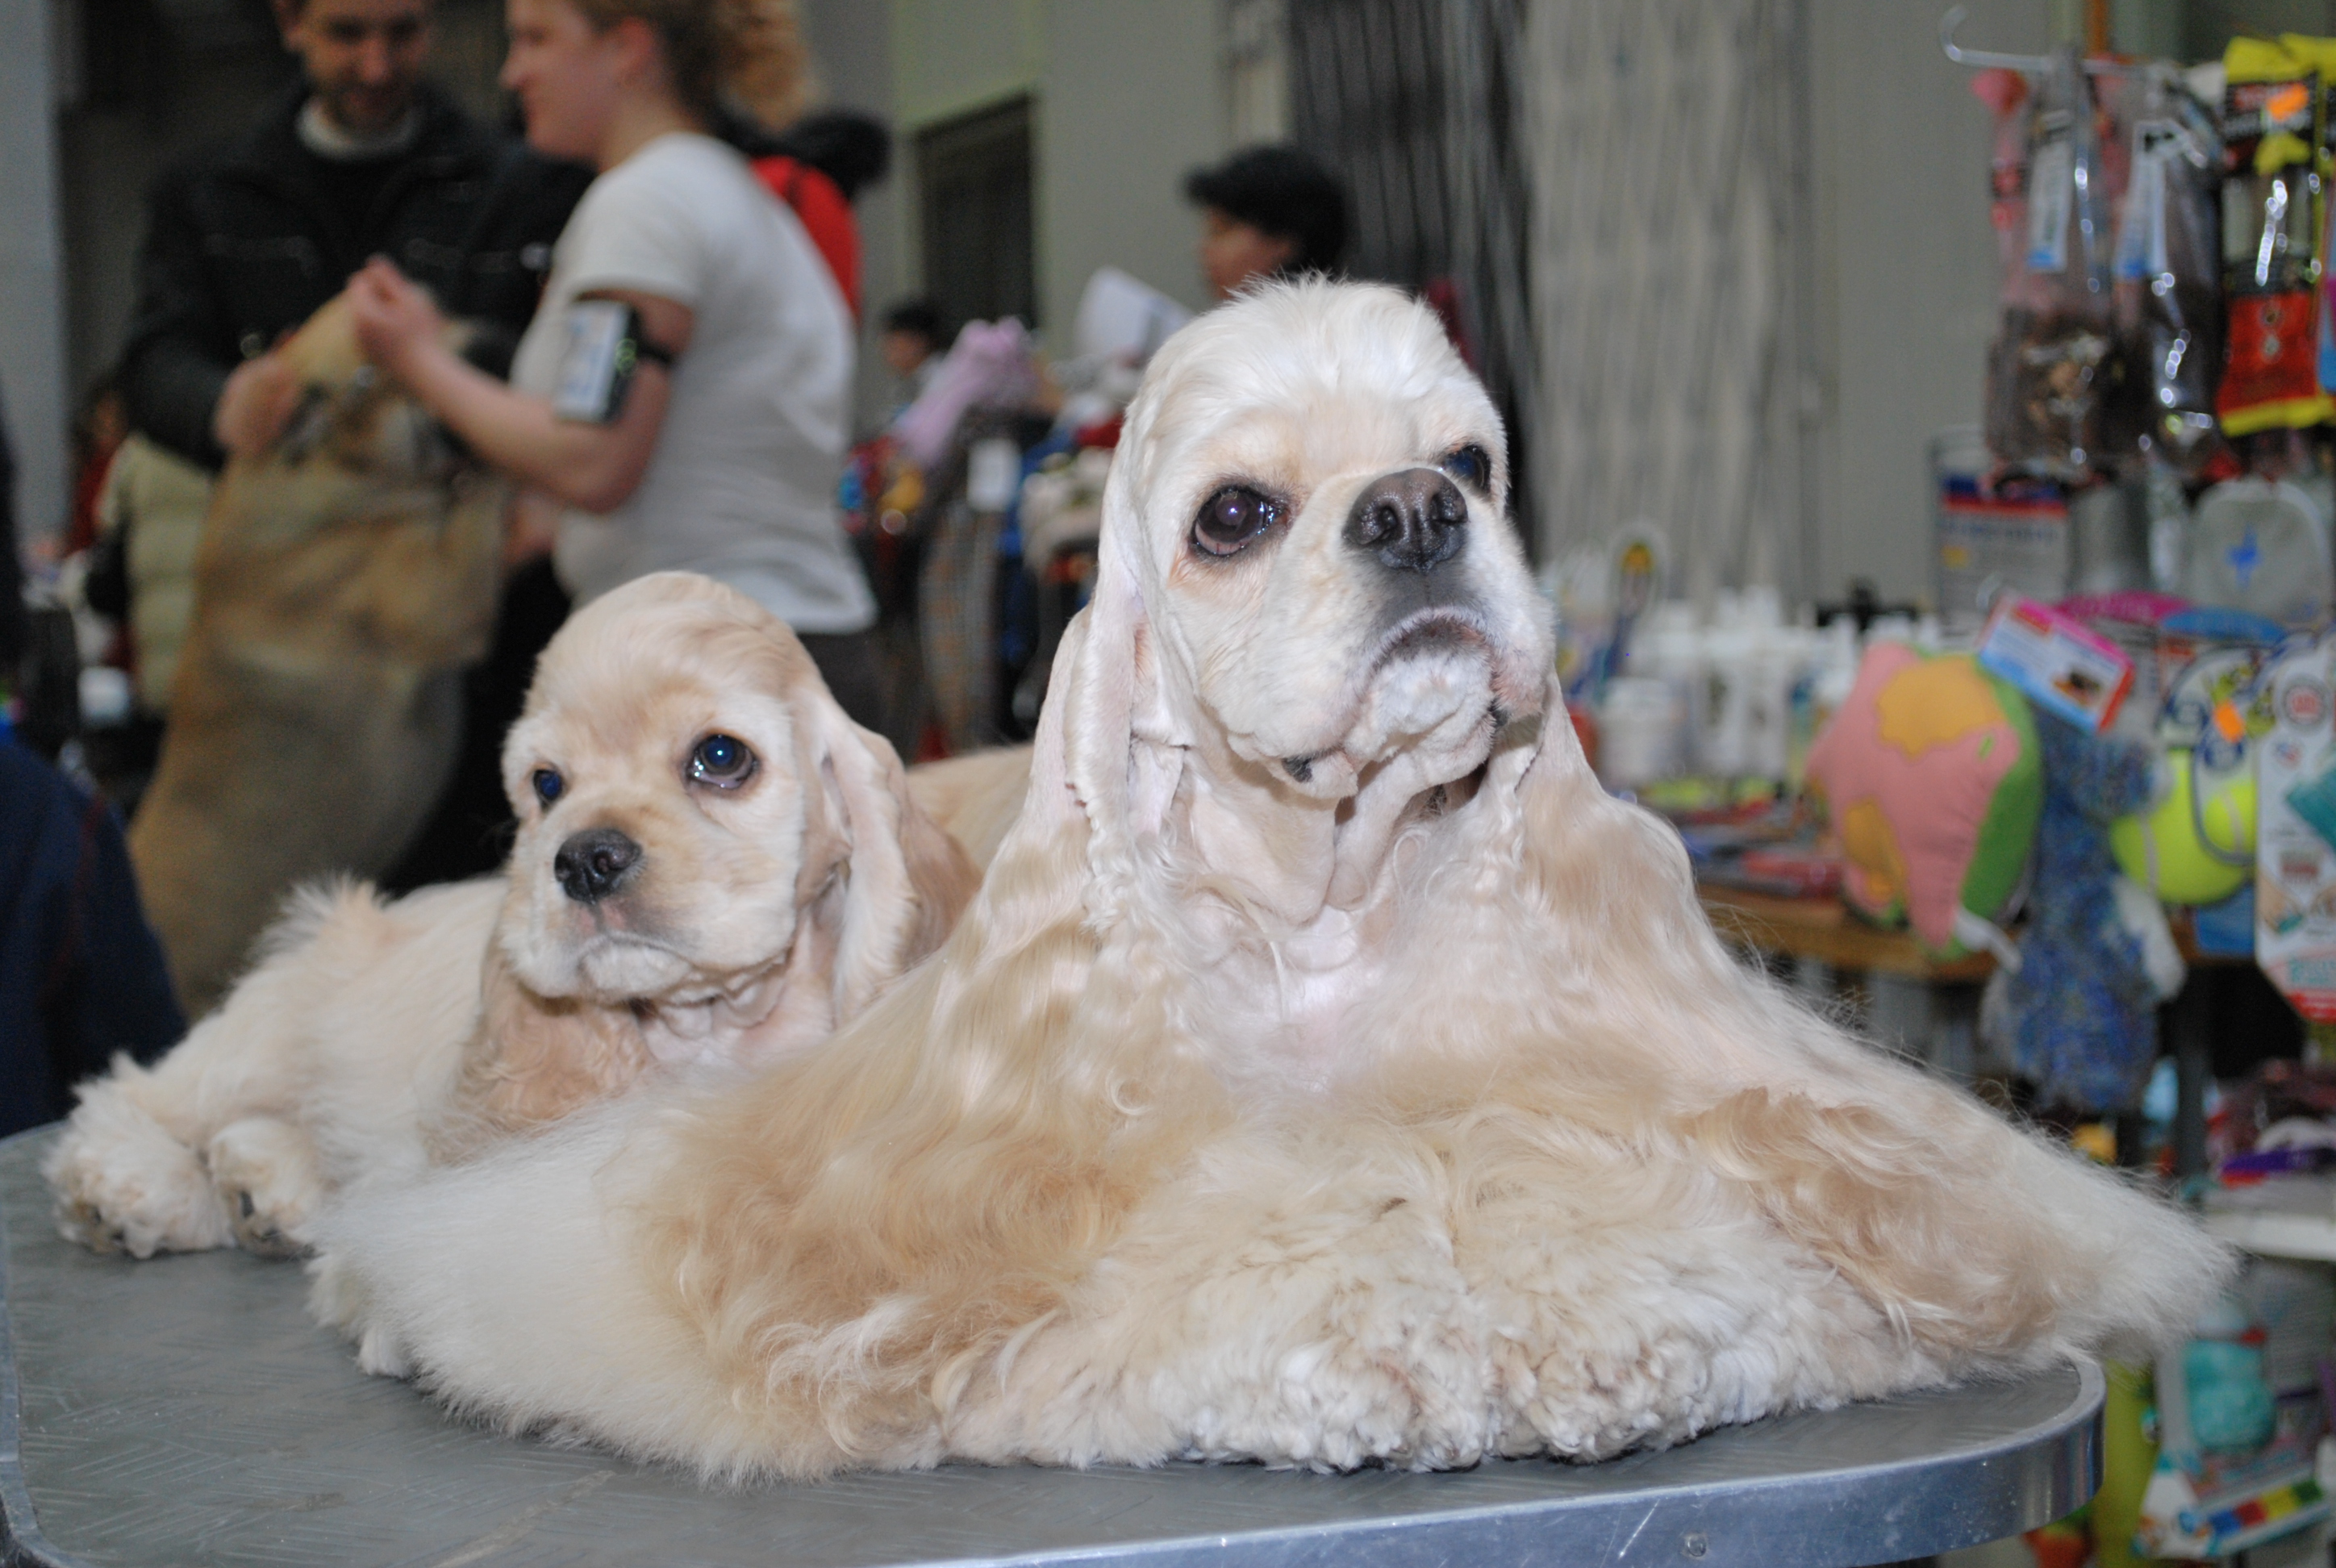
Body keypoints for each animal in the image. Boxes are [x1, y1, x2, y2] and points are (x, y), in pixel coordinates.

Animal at [48, 572, 978, 1259]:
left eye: (721, 756)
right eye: (547, 784)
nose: (584, 858)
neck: (707, 1031)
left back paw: (264, 1186)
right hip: (268, 1029)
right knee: (135, 1095)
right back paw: (134, 1190)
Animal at [308, 282, 2228, 1480]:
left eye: (1470, 462)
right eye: (1233, 515)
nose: (1413, 513)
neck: (1325, 907)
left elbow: (1637, 1208)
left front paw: (1606, 1325)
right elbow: (1242, 1247)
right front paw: (1377, 1340)